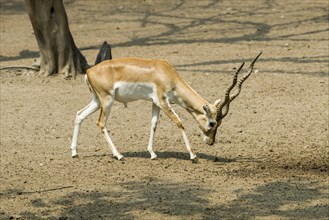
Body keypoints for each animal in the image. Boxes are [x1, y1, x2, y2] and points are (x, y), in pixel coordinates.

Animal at [70, 52, 262, 161]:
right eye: (212, 123)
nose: (210, 142)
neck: (166, 73)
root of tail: (89, 71)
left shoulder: (155, 103)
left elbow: (153, 125)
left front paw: (152, 154)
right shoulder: (163, 101)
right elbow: (179, 123)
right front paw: (193, 155)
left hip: (97, 101)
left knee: (79, 114)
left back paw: (74, 153)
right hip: (107, 101)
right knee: (101, 123)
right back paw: (118, 155)